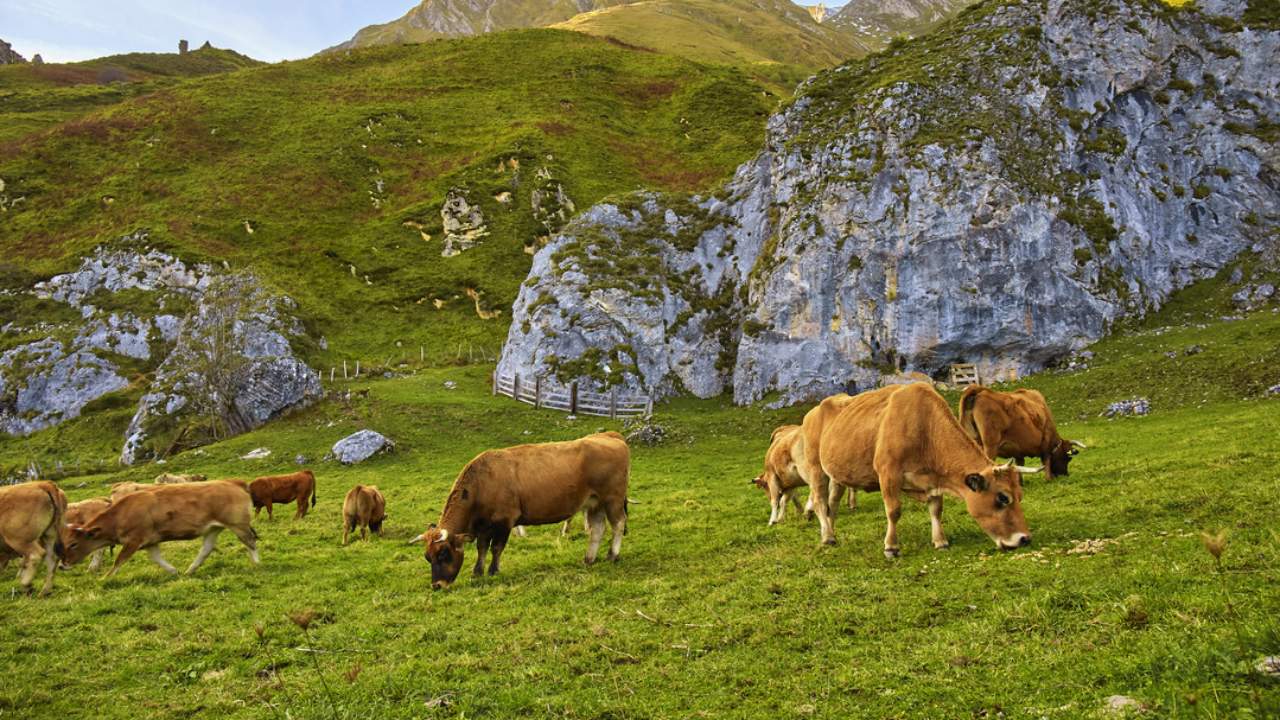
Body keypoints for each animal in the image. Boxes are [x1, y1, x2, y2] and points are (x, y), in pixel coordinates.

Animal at [61, 480, 259, 577]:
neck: (121, 513)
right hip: (213, 529)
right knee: (206, 549)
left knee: (250, 541)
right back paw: (190, 570)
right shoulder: (149, 542)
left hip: (238, 525)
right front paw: (173, 571)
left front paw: (105, 578)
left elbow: (119, 560)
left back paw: (257, 563)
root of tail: (233, 483)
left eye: (73, 544)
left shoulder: (134, 540)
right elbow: (156, 558)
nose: (63, 564)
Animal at [411, 431, 630, 590]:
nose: (437, 585)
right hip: (595, 503)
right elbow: (482, 548)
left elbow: (496, 548)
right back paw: (589, 559)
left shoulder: (505, 521)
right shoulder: (484, 526)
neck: (482, 483)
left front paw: (493, 570)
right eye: (428, 557)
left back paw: (613, 555)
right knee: (598, 529)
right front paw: (477, 572)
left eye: (444, 554)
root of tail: (609, 436)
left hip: (613, 499)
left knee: (618, 524)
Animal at [799, 383, 1040, 555]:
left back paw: (829, 532)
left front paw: (940, 540)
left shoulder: (933, 479)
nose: (1024, 538)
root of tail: (813, 411)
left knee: (832, 504)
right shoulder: (888, 473)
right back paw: (828, 537)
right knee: (820, 501)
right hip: (816, 468)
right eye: (1002, 498)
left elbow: (936, 509)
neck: (924, 427)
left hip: (837, 475)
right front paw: (891, 547)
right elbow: (894, 510)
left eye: (1020, 496)